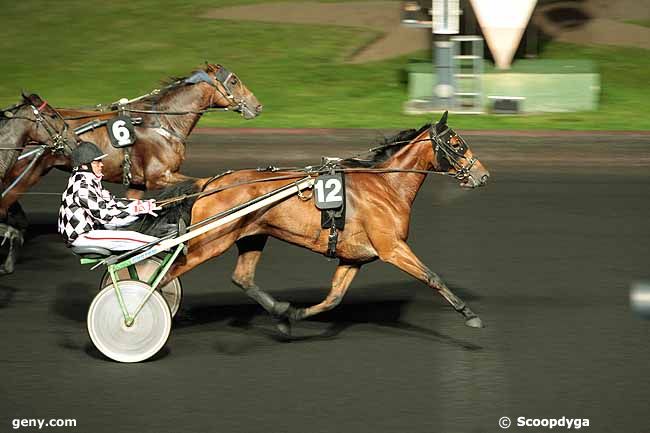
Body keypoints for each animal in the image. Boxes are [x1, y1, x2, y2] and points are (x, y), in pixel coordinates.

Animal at [157, 111, 488, 330]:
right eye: (456, 143)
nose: (482, 174)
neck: (387, 186)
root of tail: (209, 183)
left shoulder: (354, 257)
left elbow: (334, 298)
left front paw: (293, 315)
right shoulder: (392, 247)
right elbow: (432, 276)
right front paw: (469, 314)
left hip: (252, 235)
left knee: (242, 278)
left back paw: (278, 310)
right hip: (210, 243)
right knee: (168, 272)